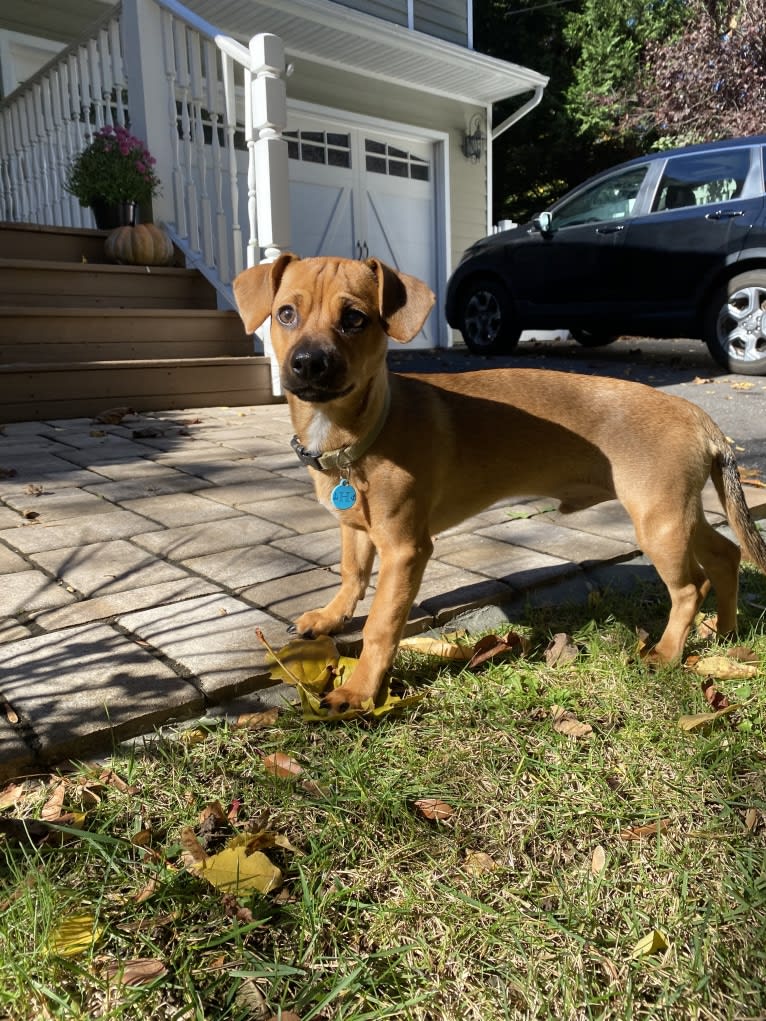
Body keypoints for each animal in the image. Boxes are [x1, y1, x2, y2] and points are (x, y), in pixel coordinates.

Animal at [232, 255, 766, 714]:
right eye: (285, 314)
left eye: (355, 319)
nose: (308, 363)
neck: (360, 433)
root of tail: (700, 417)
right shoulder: (356, 528)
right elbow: (351, 575)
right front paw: (329, 617)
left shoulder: (405, 549)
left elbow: (382, 625)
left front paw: (361, 690)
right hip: (678, 514)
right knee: (725, 555)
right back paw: (725, 630)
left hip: (659, 523)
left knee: (690, 587)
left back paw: (669, 652)